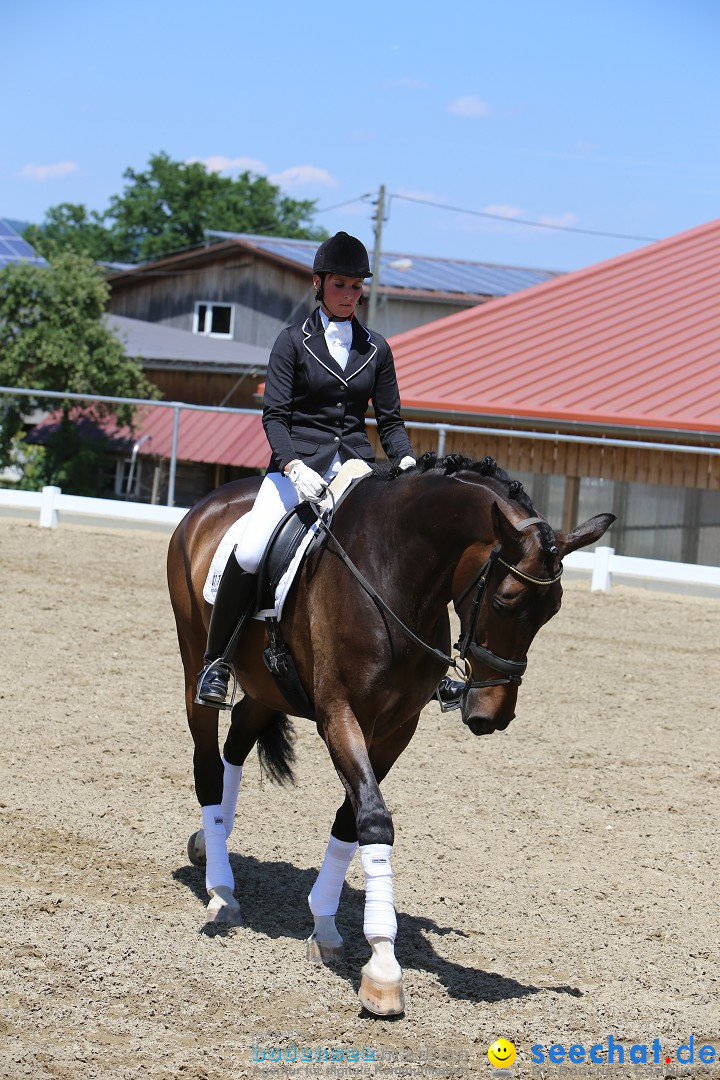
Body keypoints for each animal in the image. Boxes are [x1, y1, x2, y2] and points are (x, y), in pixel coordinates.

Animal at [167, 453, 613, 1010]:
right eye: (506, 601)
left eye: (551, 612)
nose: (492, 715)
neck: (396, 574)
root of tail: (207, 504)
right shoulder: (340, 714)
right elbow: (375, 819)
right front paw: (382, 965)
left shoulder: (397, 727)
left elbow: (351, 819)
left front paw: (325, 924)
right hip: (195, 663)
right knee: (208, 762)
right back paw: (221, 892)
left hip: (268, 689)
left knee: (235, 748)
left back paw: (212, 845)